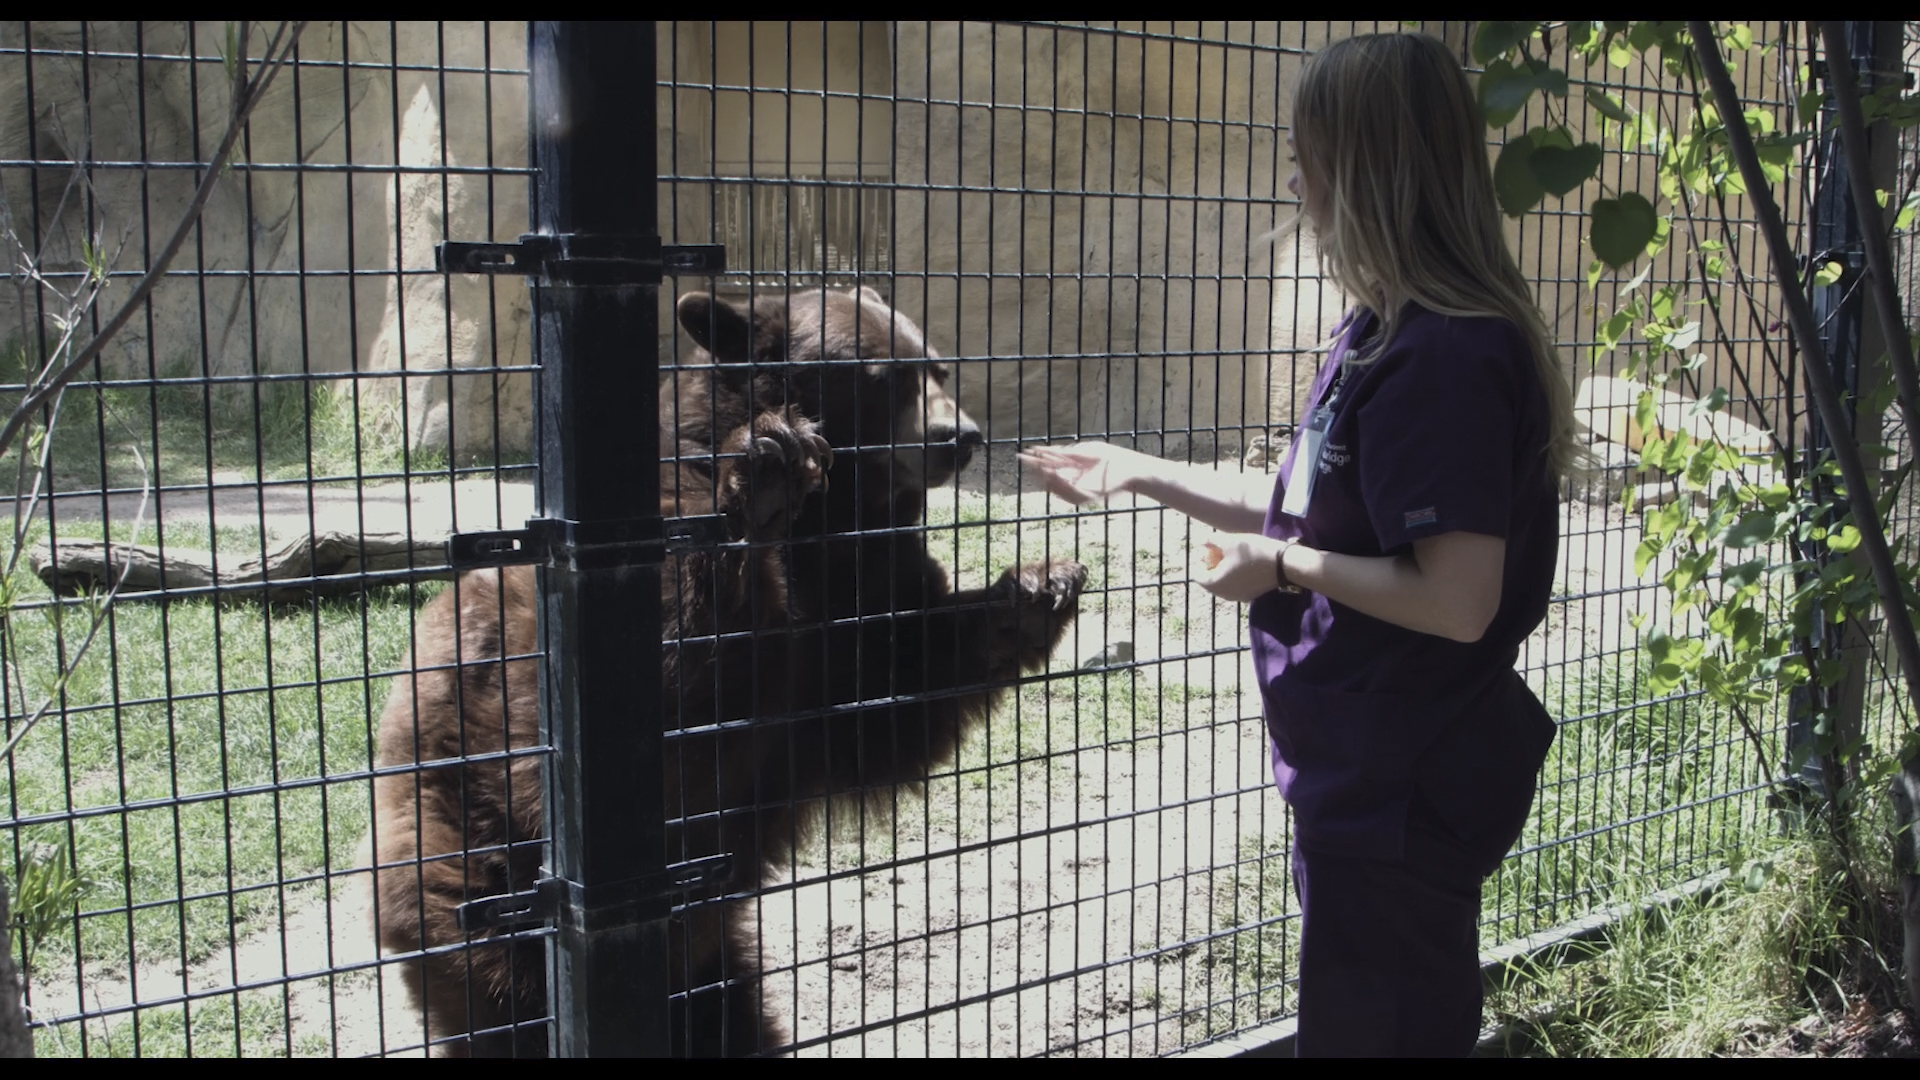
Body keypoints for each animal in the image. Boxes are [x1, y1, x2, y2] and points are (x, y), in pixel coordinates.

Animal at [374, 286, 1090, 1053]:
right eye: (882, 375)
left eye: (938, 368)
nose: (959, 435)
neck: (831, 526)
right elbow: (679, 686)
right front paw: (770, 474)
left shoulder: (859, 599)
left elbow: (897, 691)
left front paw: (1038, 589)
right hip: (480, 853)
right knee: (510, 985)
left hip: (711, 960)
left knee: (726, 1018)